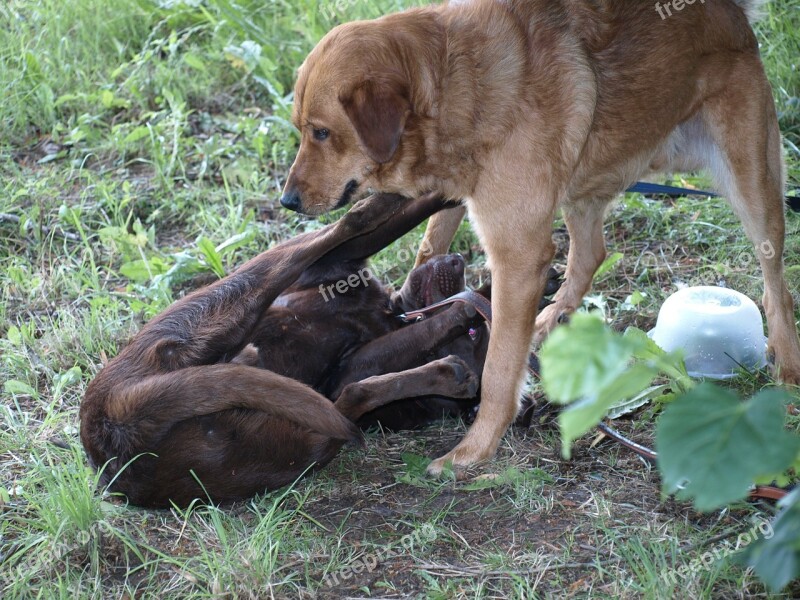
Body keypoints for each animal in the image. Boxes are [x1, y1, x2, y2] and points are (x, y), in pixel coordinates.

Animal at [81, 193, 556, 506]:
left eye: (476, 338)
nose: (456, 260)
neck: (386, 311)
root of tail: (112, 426)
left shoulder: (351, 365)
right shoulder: (340, 263)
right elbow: (378, 230)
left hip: (294, 432)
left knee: (348, 398)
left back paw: (448, 373)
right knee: (335, 232)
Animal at [280, 1, 800, 478]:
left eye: (321, 132)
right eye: (301, 131)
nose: (287, 201)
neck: (451, 83)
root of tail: (732, 14)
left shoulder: (517, 255)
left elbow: (498, 369)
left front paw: (476, 448)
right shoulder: (455, 199)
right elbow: (429, 249)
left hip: (751, 183)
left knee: (776, 278)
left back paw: (787, 363)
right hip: (584, 181)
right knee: (591, 254)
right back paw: (550, 319)